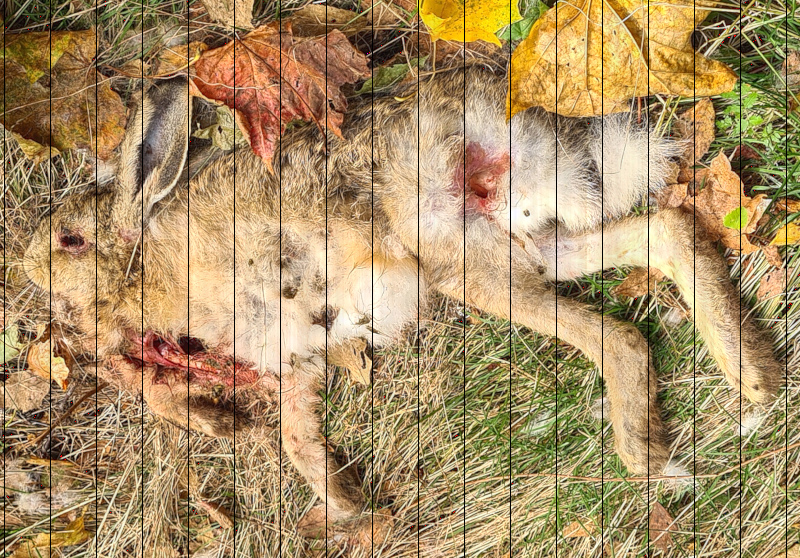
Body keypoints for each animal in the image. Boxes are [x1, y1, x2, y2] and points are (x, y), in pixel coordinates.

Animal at [23, 64, 782, 534]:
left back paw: (654, 460)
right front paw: (349, 504)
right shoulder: (291, 358)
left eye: (69, 239)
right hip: (526, 242)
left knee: (619, 336)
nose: (27, 272)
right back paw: (754, 378)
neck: (140, 265)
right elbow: (296, 435)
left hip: (457, 256)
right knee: (668, 233)